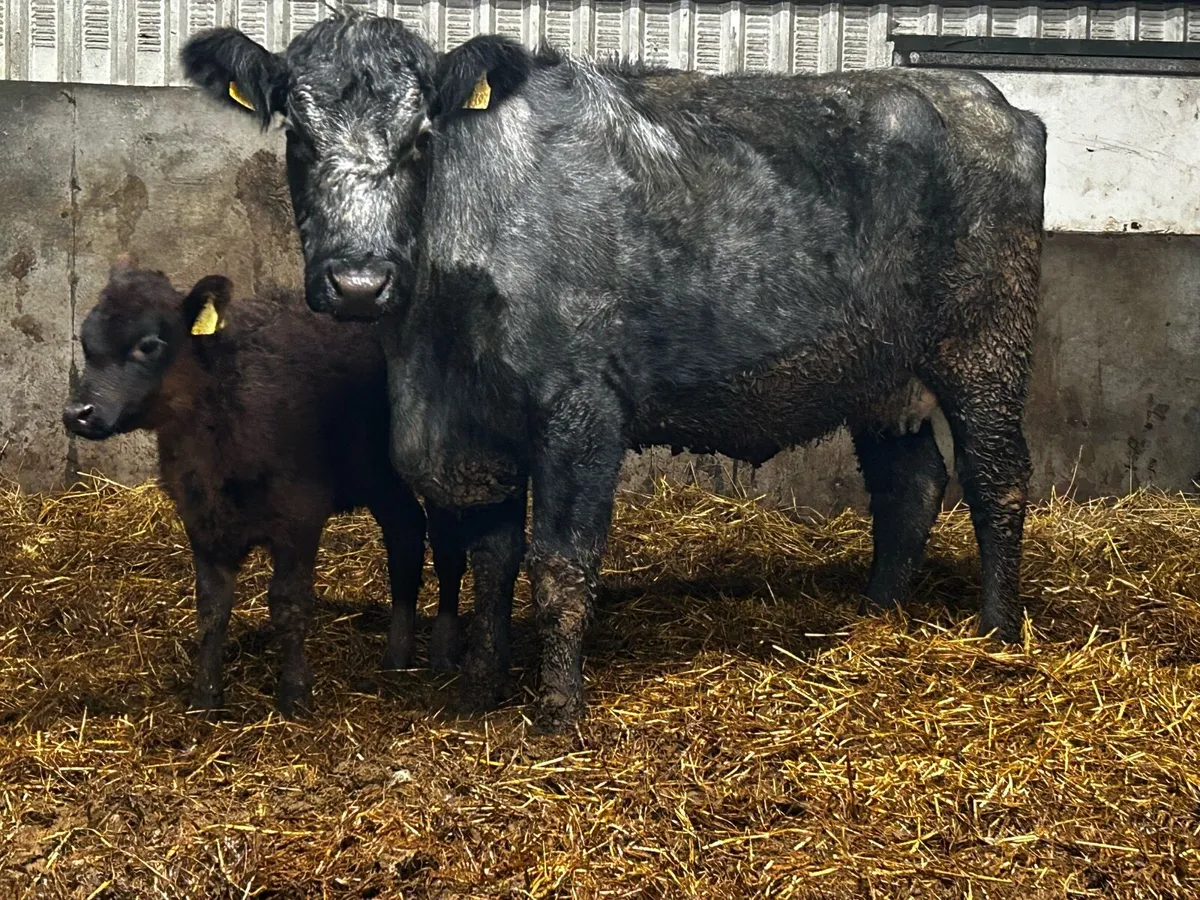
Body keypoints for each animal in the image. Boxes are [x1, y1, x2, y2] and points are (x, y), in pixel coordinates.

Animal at [63, 257, 468, 716]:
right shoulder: (201, 519)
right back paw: (397, 654)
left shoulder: (299, 515)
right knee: (406, 533)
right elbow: (212, 607)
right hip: (378, 478)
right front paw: (206, 696)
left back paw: (442, 651)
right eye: (86, 342)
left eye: (148, 345)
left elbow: (288, 604)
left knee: (447, 548)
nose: (78, 413)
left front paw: (294, 693)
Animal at [181, 13, 1047, 731]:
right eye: (297, 134)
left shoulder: (582, 406)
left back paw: (997, 632)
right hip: (881, 371)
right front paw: (479, 687)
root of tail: (987, 99)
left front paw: (558, 713)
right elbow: (493, 557)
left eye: (421, 136)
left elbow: (560, 562)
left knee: (997, 475)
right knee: (910, 484)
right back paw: (875, 616)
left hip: (986, 340)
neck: (431, 349)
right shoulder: (475, 423)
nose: (359, 282)